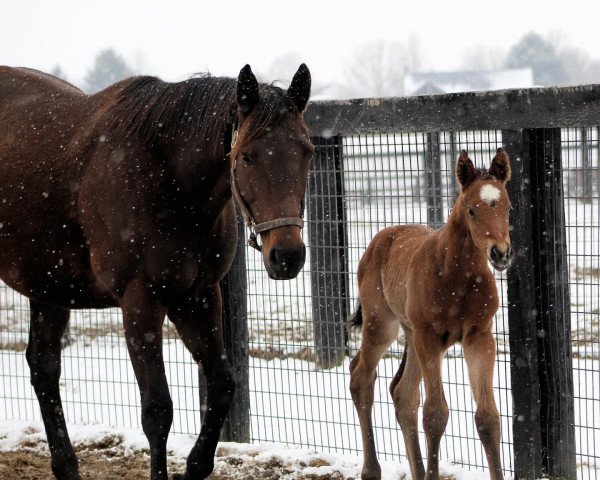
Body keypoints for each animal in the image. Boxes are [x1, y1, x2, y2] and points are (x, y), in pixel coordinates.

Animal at [0, 64, 316, 480]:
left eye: (307, 152)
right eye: (247, 156)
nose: (287, 255)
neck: (167, 177)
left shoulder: (198, 298)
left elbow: (222, 386)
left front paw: (194, 467)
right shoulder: (141, 302)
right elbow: (157, 411)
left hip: (49, 288)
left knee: (43, 369)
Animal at [350, 150, 512, 480]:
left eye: (508, 207)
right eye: (472, 210)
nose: (500, 254)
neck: (459, 277)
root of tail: (380, 239)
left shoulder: (479, 337)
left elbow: (488, 418)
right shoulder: (430, 338)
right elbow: (436, 414)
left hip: (411, 335)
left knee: (403, 395)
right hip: (382, 326)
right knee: (361, 379)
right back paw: (371, 470)